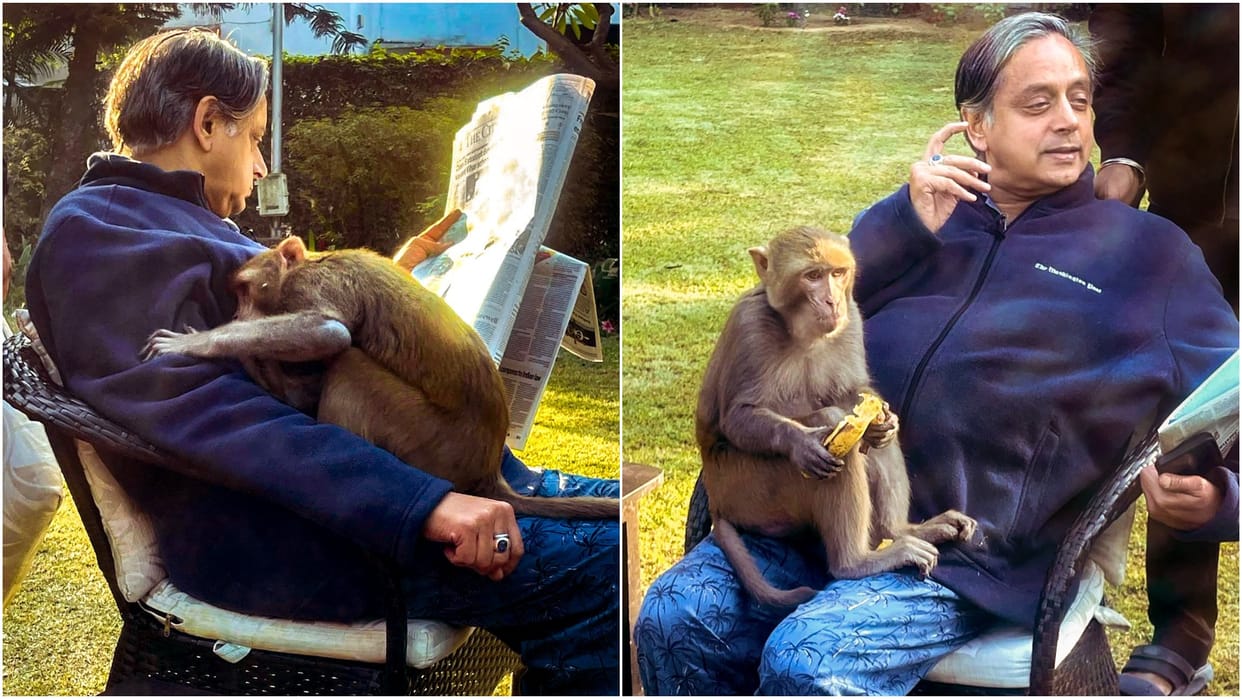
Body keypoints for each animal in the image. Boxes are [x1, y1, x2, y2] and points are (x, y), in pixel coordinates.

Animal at [143, 235, 617, 520]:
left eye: (245, 289)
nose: (239, 315)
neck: (311, 262)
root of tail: (486, 469)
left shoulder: (315, 284)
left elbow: (330, 332)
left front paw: (200, 343)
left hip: (429, 442)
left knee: (350, 364)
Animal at [696, 226, 976, 608]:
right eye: (813, 276)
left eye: (838, 273)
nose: (832, 302)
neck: (801, 334)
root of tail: (719, 502)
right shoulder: (750, 327)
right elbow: (739, 418)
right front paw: (801, 443)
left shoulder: (852, 318)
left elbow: (854, 393)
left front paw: (883, 422)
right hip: (753, 493)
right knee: (830, 427)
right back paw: (854, 563)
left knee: (864, 438)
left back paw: (900, 529)